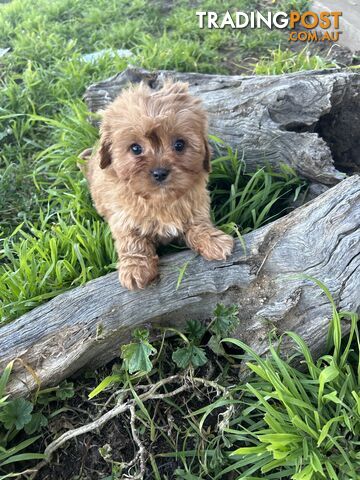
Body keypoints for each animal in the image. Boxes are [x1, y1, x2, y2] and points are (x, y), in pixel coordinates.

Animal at [85, 80, 233, 288]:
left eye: (179, 144)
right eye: (135, 148)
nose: (160, 173)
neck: (160, 200)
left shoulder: (196, 206)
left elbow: (199, 224)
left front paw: (213, 241)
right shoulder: (122, 218)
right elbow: (132, 241)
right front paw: (136, 268)